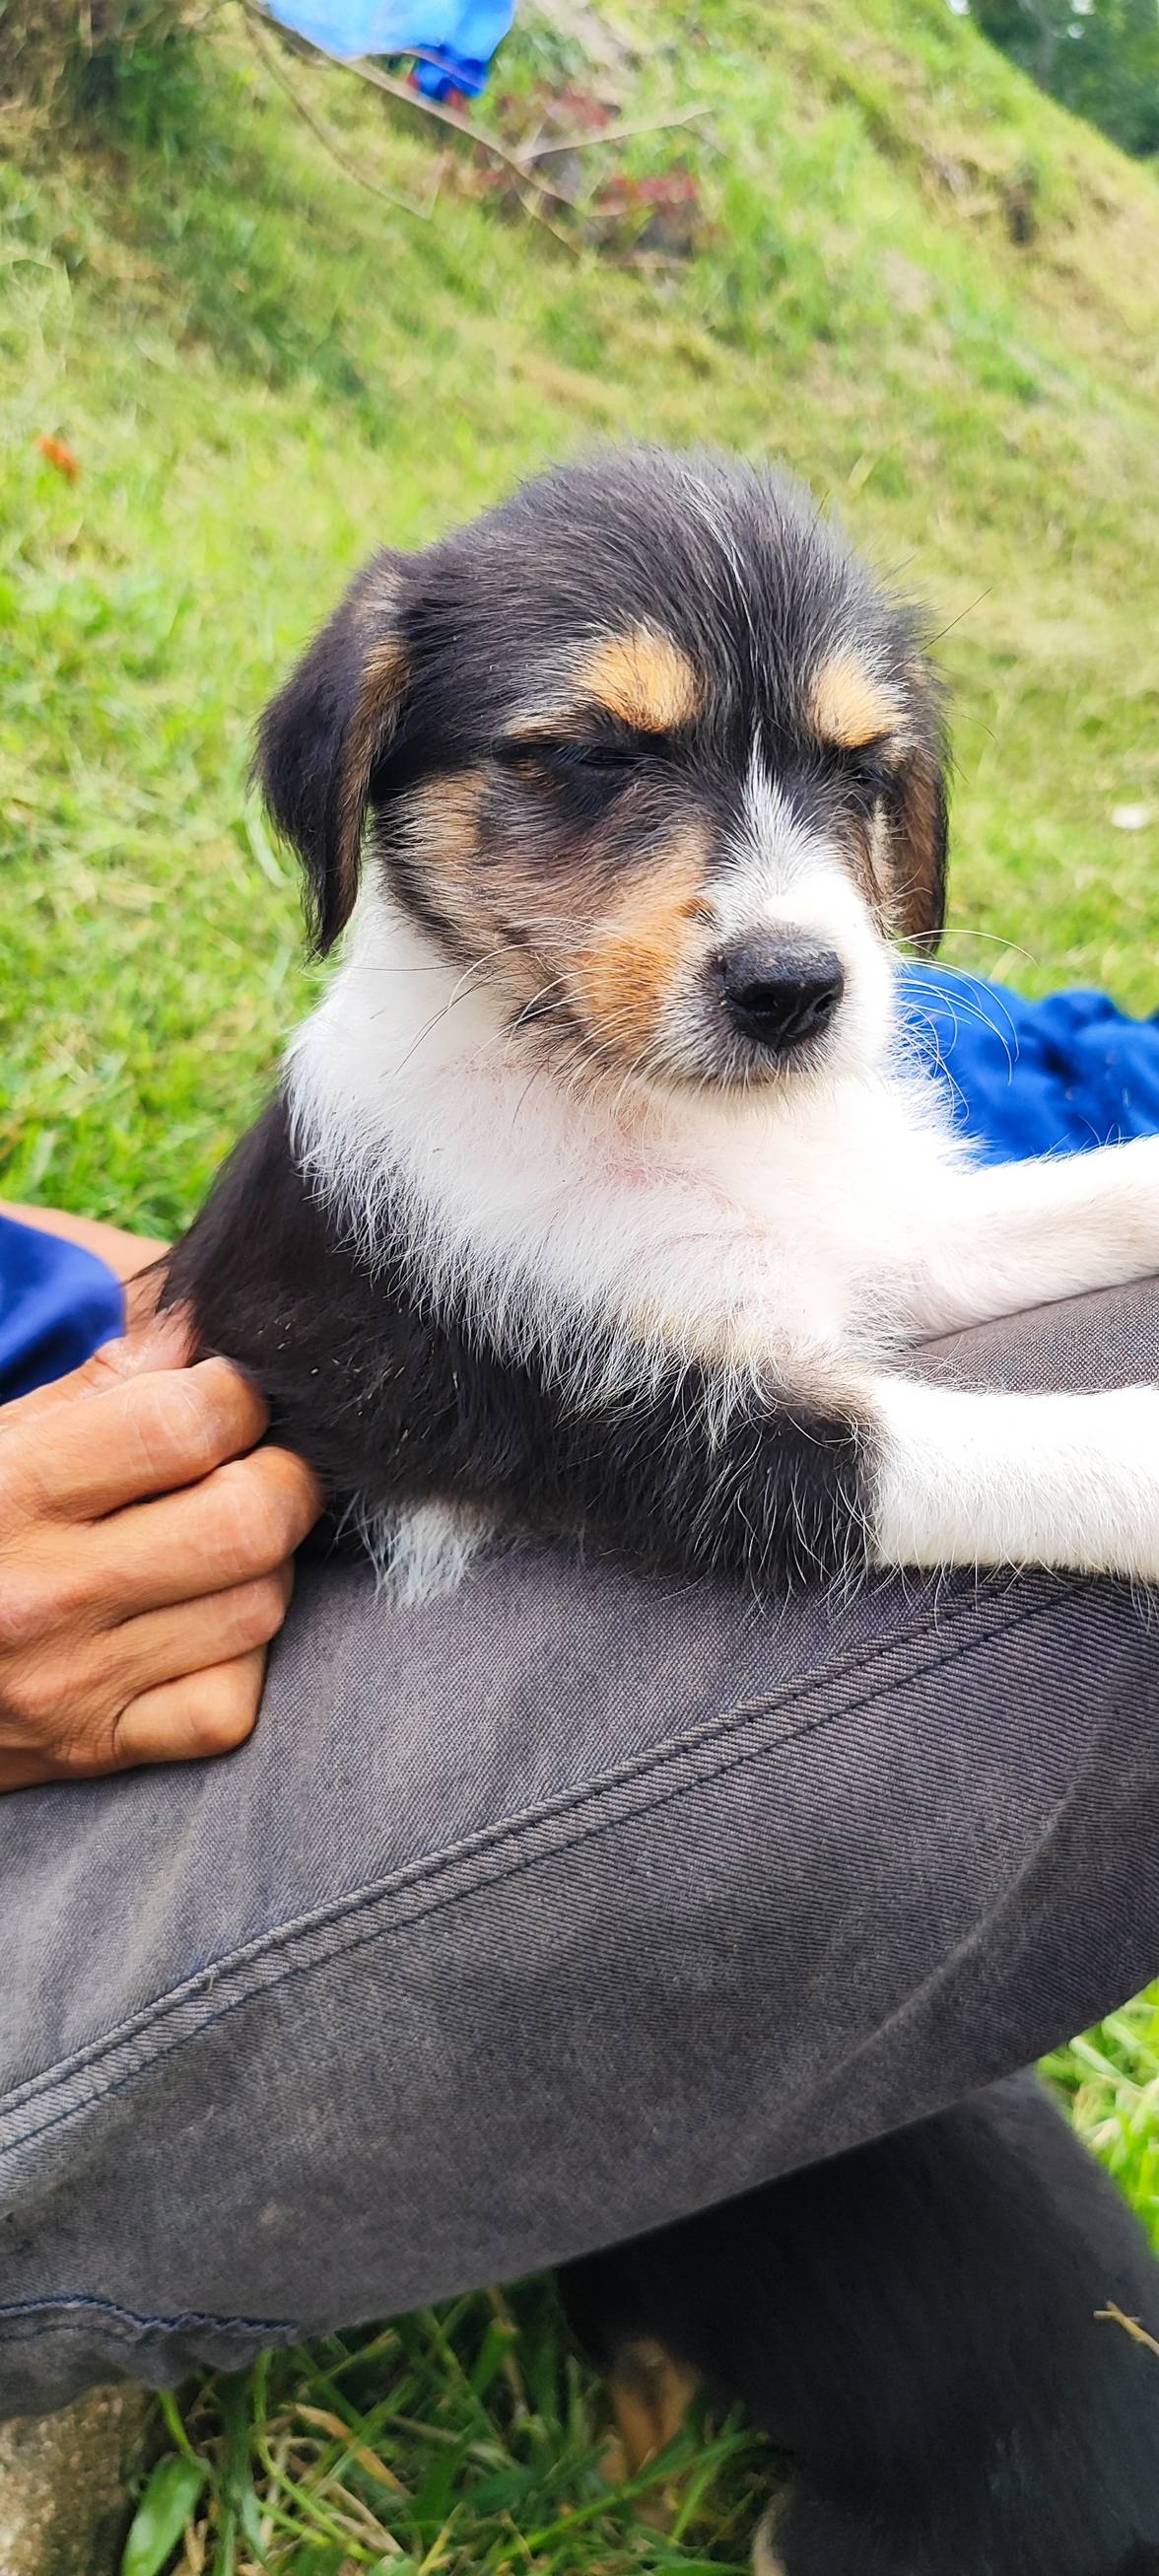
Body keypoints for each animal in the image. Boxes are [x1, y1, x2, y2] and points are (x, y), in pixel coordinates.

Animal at [165, 448, 1159, 2571]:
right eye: (593, 755)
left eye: (866, 771)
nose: (801, 989)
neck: (637, 1114)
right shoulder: (691, 1440)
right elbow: (1005, 1448)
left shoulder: (877, 1251)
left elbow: (1069, 1199)